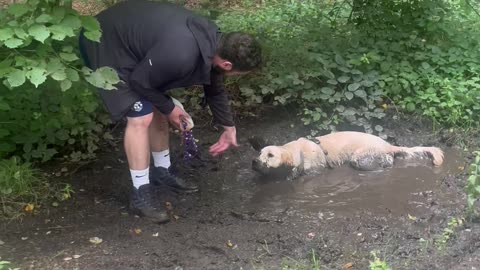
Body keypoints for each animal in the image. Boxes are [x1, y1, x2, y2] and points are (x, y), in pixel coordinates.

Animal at [249, 131, 444, 181]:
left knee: (387, 161)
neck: (298, 151)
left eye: (271, 155)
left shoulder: (314, 170)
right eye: (259, 153)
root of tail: (387, 144)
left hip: (359, 157)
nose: (254, 162)